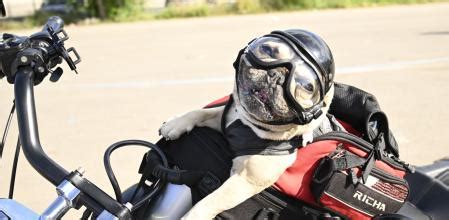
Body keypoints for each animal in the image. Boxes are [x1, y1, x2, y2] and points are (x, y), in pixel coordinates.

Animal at [158, 29, 340, 220]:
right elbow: (201, 113)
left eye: (307, 86)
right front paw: (176, 123)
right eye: (267, 50)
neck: (251, 125)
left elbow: (210, 201)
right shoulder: (226, 118)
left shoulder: (244, 181)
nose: (276, 76)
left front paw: (192, 216)